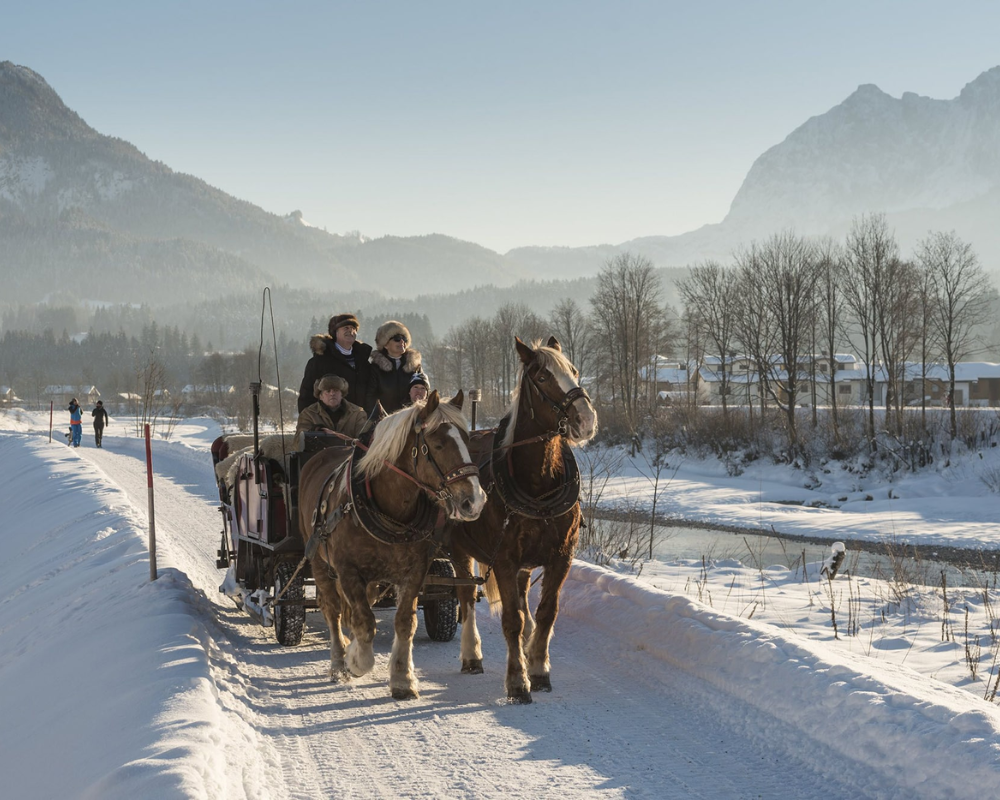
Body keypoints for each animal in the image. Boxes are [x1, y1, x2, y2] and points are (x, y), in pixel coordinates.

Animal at [296, 390, 484, 696]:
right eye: (438, 444)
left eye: (468, 440)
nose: (475, 501)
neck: (388, 507)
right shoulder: (347, 570)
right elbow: (364, 621)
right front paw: (356, 661)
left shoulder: (414, 570)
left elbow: (404, 621)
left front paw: (402, 678)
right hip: (317, 559)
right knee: (332, 608)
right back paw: (338, 662)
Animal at [452, 336, 596, 700]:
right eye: (542, 377)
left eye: (574, 370)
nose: (586, 419)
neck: (539, 486)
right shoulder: (503, 559)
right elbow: (511, 620)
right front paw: (518, 680)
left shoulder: (561, 557)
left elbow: (546, 613)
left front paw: (539, 668)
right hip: (457, 550)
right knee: (466, 598)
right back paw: (471, 654)